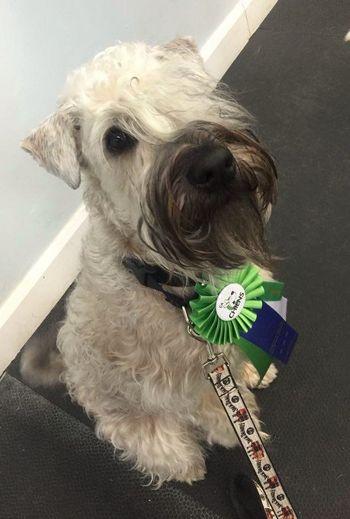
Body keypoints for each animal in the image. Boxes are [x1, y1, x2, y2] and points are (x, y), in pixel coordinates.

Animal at [21, 37, 278, 488]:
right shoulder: (188, 380)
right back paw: (189, 464)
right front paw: (240, 433)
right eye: (116, 138)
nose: (213, 164)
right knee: (163, 448)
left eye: (183, 86)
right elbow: (216, 411)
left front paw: (252, 370)